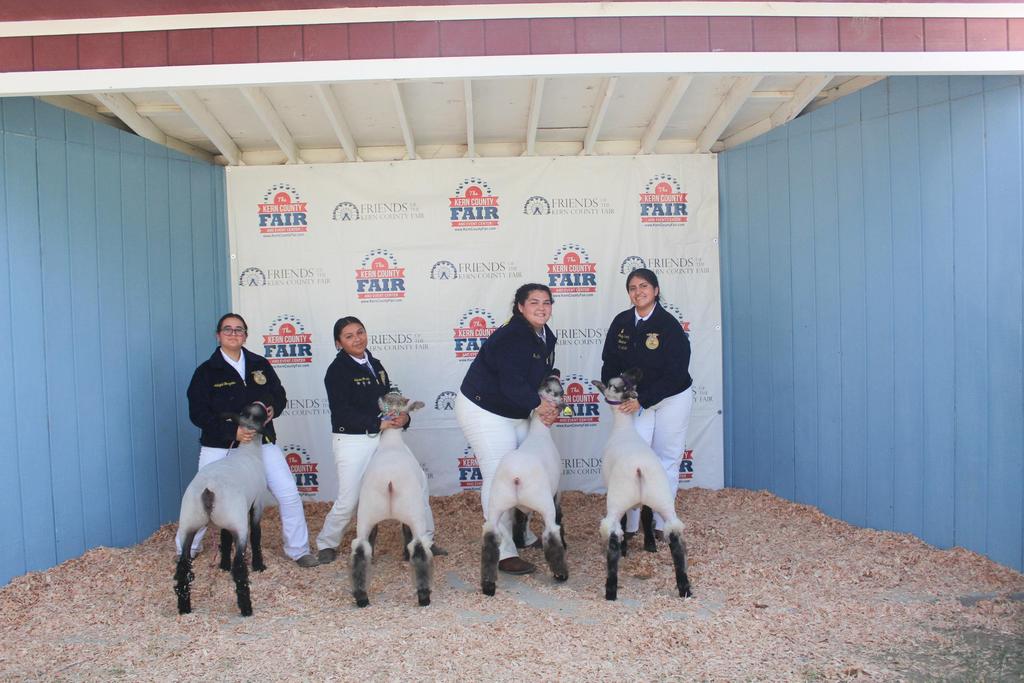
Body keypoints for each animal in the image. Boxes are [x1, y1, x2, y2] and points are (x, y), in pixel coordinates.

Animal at [174, 402, 269, 617]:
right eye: (260, 413)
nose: (262, 403)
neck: (249, 451)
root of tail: (209, 490)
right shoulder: (257, 503)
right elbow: (257, 534)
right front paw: (259, 565)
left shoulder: (226, 521)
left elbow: (224, 537)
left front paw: (223, 565)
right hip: (238, 523)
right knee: (240, 566)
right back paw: (246, 608)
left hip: (189, 522)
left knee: (183, 566)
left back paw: (184, 608)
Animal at [350, 393, 433, 608]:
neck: (391, 443)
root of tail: (390, 482)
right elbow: (405, 531)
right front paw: (404, 554)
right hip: (415, 510)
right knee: (418, 547)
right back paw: (424, 596)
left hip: (366, 512)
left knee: (361, 549)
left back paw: (362, 597)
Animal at [481, 374, 569, 596]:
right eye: (558, 391)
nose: (552, 374)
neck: (539, 432)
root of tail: (516, 477)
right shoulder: (557, 492)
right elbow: (560, 516)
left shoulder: (520, 507)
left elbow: (521, 519)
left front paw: (521, 541)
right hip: (544, 503)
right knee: (551, 534)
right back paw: (561, 574)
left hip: (496, 505)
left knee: (489, 545)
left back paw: (488, 584)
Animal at [592, 370, 692, 601]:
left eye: (612, 384)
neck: (624, 429)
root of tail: (639, 468)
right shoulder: (649, 501)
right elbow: (646, 514)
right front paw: (650, 544)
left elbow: (628, 519)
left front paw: (627, 548)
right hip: (663, 498)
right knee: (675, 539)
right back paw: (684, 588)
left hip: (617, 499)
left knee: (613, 533)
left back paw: (610, 590)